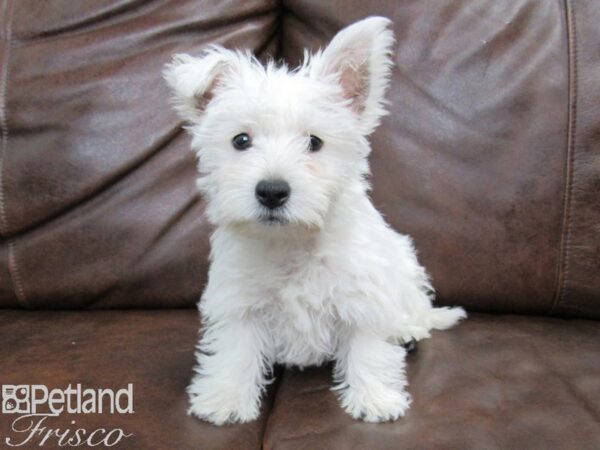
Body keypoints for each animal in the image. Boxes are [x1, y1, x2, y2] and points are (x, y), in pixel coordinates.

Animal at [164, 16, 464, 426]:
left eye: (315, 142)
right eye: (241, 140)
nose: (272, 191)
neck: (293, 242)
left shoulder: (363, 296)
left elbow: (369, 348)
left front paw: (375, 398)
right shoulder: (239, 301)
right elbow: (236, 349)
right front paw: (226, 398)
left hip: (404, 268)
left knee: (416, 310)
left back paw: (409, 330)